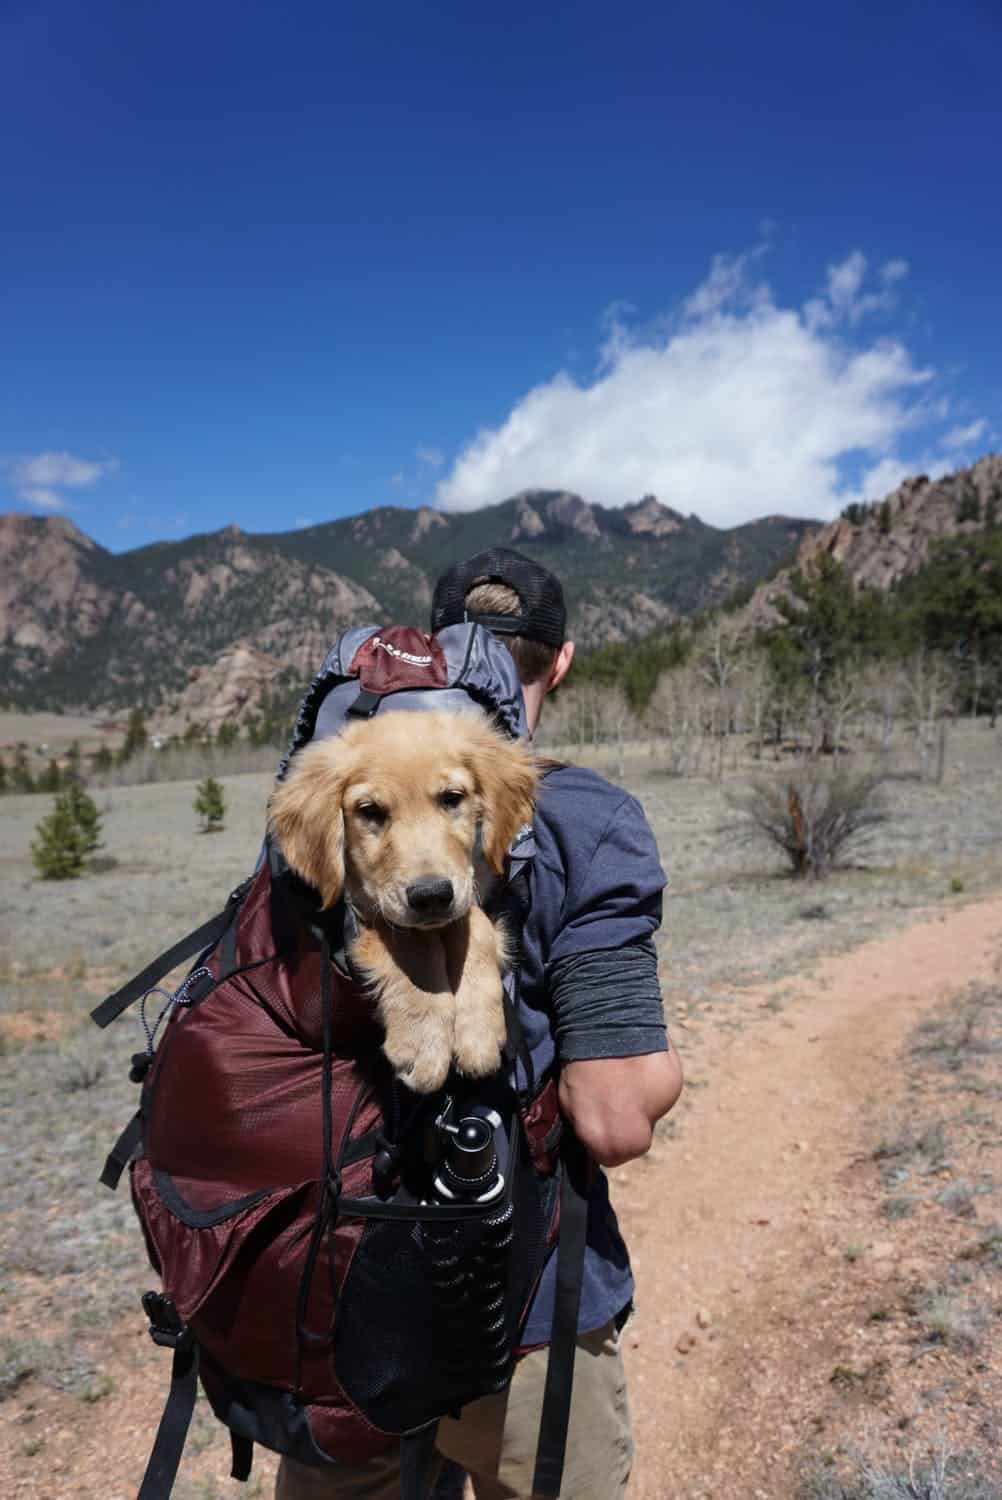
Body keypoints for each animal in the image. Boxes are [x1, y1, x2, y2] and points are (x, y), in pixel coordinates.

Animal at [262, 708, 537, 1098]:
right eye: (370, 811)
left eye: (451, 798)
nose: (432, 896)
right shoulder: (364, 911)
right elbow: (410, 943)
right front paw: (424, 1041)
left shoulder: (467, 889)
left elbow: (475, 927)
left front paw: (478, 1028)